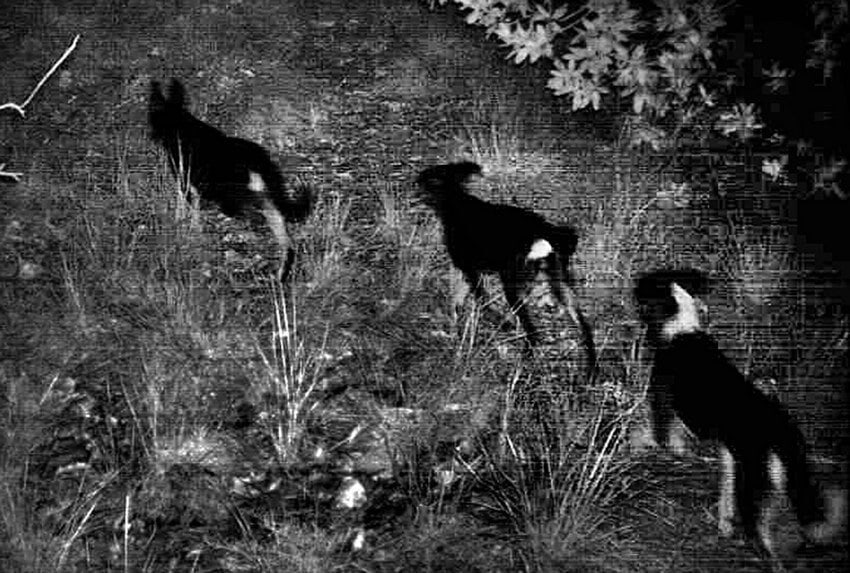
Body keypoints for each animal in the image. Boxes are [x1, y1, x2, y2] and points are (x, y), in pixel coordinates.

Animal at [147, 78, 310, 282]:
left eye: (153, 115)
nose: (150, 134)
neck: (179, 123)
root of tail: (257, 161)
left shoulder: (185, 179)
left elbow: (186, 207)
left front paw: (187, 228)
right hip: (265, 199)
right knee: (284, 235)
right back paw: (281, 272)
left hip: (236, 197)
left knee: (256, 220)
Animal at [414, 159, 592, 368]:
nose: (415, 191)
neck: (457, 201)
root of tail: (540, 237)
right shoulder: (470, 271)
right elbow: (464, 299)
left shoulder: (469, 268)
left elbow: (481, 299)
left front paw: (501, 324)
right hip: (558, 281)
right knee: (583, 325)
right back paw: (591, 369)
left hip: (513, 284)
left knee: (533, 331)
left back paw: (527, 356)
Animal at [628, 268, 840, 568]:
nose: (633, 284)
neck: (681, 329)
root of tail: (780, 430)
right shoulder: (727, 453)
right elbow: (724, 495)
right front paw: (724, 527)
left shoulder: (664, 413)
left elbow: (649, 435)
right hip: (785, 478)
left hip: (754, 483)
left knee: (763, 536)